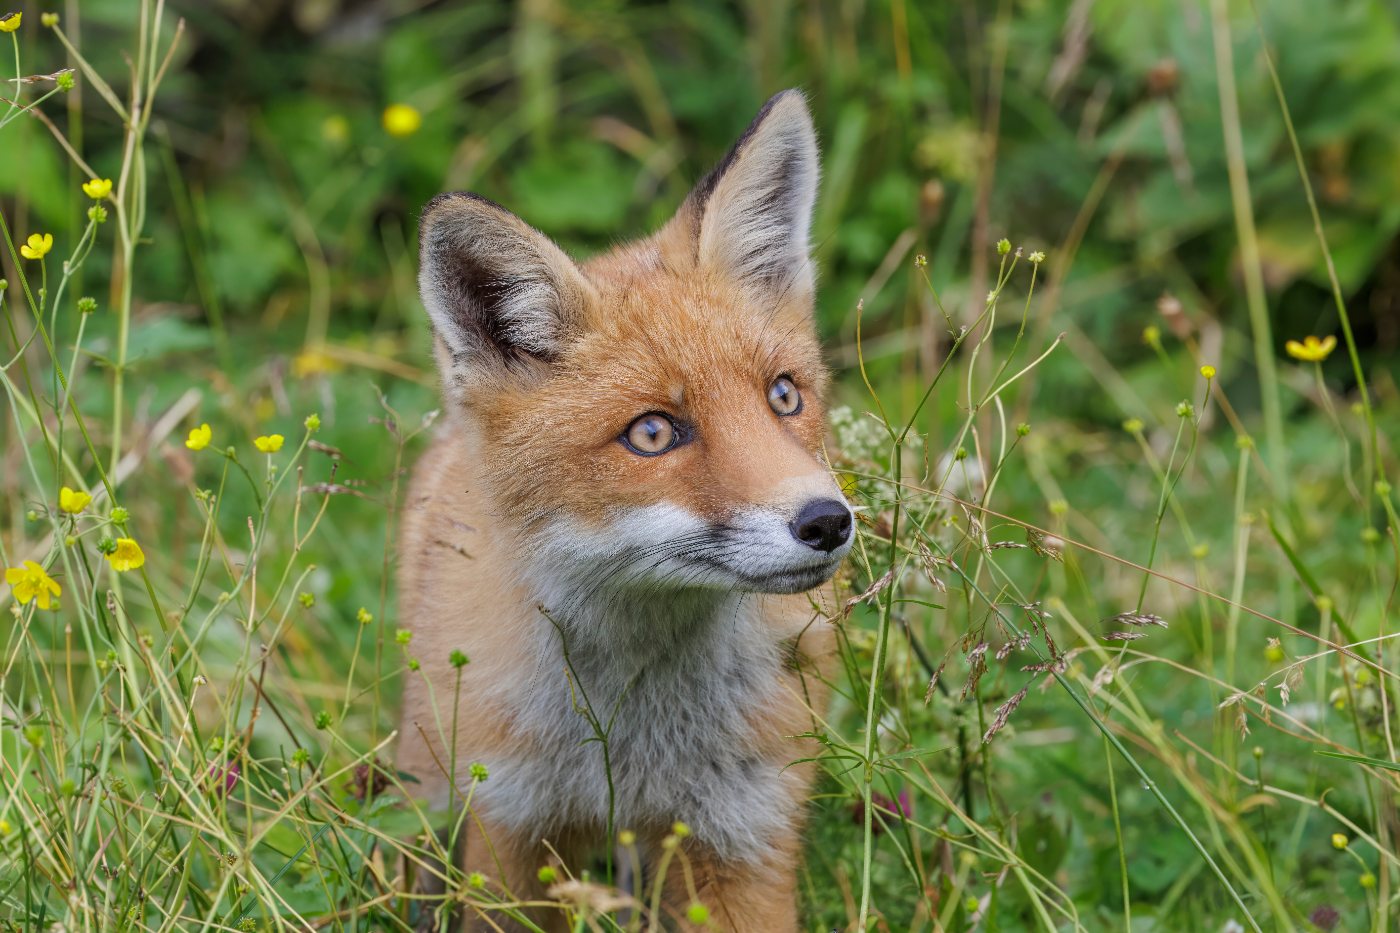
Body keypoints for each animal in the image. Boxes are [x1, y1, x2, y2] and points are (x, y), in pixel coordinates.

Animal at [396, 89, 853, 932]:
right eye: (652, 433)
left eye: (783, 395)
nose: (827, 522)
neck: (636, 735)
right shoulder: (514, 831)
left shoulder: (741, 833)